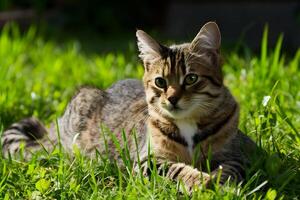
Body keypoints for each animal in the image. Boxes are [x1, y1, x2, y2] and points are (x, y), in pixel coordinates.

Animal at [1, 21, 256, 194]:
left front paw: (218, 183)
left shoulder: (234, 155)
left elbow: (228, 171)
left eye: (191, 79)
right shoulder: (148, 161)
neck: (188, 124)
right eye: (160, 82)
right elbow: (177, 169)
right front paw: (201, 181)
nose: (172, 99)